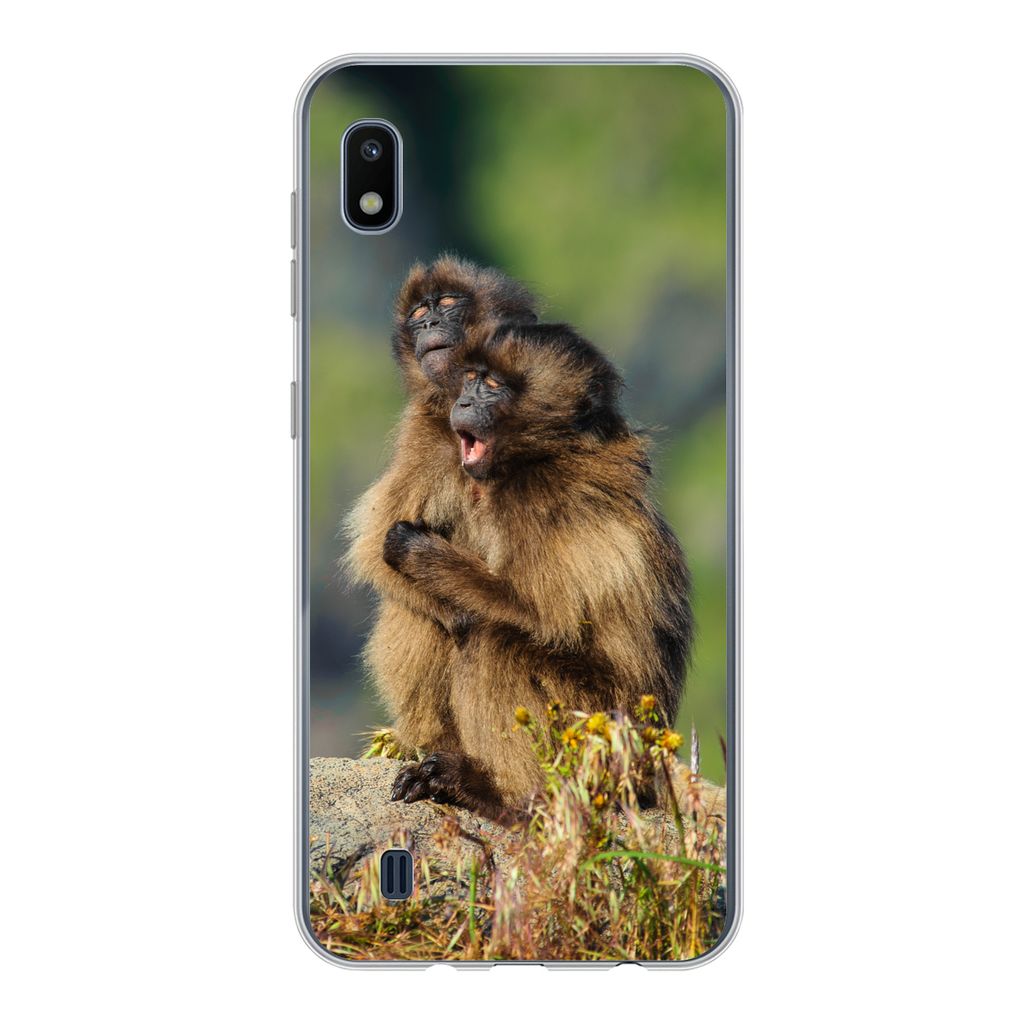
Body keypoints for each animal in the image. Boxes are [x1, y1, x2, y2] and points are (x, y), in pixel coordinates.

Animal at [383, 322, 694, 819]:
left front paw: (415, 550)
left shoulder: (541, 502)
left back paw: (502, 795)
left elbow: (546, 619)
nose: (461, 403)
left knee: (493, 640)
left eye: (492, 385)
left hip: (596, 728)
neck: (548, 451)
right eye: (471, 378)